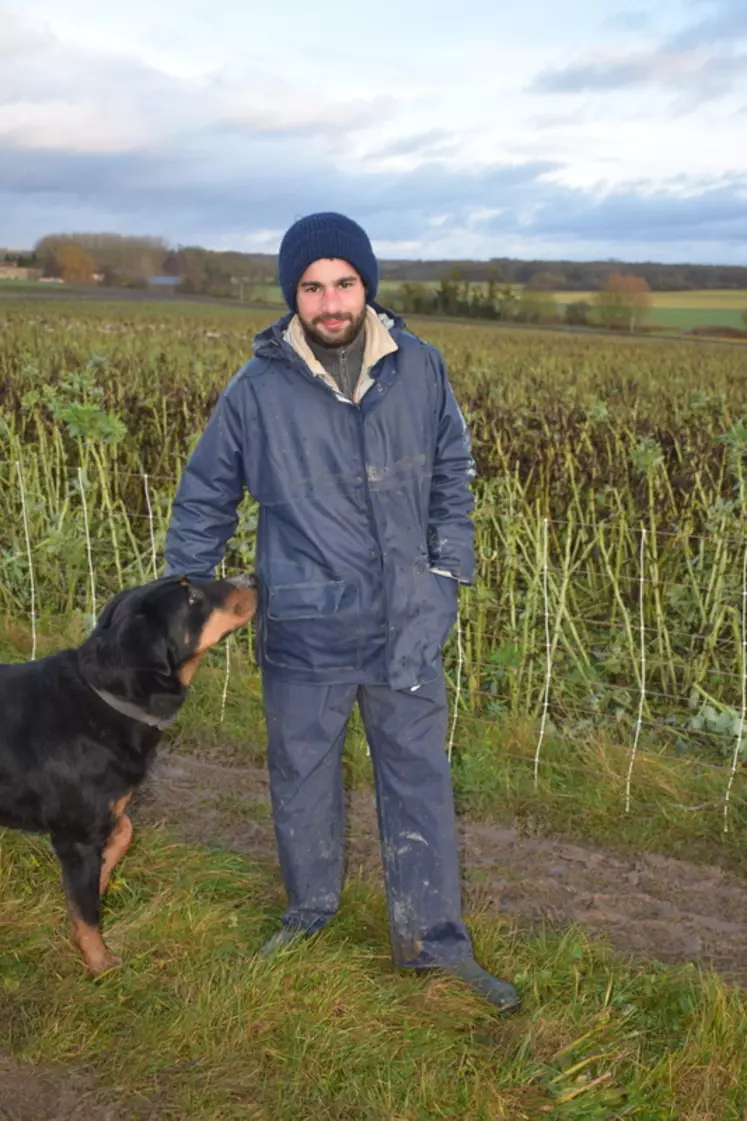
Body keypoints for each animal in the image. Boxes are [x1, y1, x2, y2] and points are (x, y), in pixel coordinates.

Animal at [0, 573, 255, 977]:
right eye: (192, 598)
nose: (251, 576)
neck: (105, 698)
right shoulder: (76, 835)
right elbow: (87, 913)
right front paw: (101, 963)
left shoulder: (100, 815)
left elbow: (123, 835)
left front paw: (103, 878)